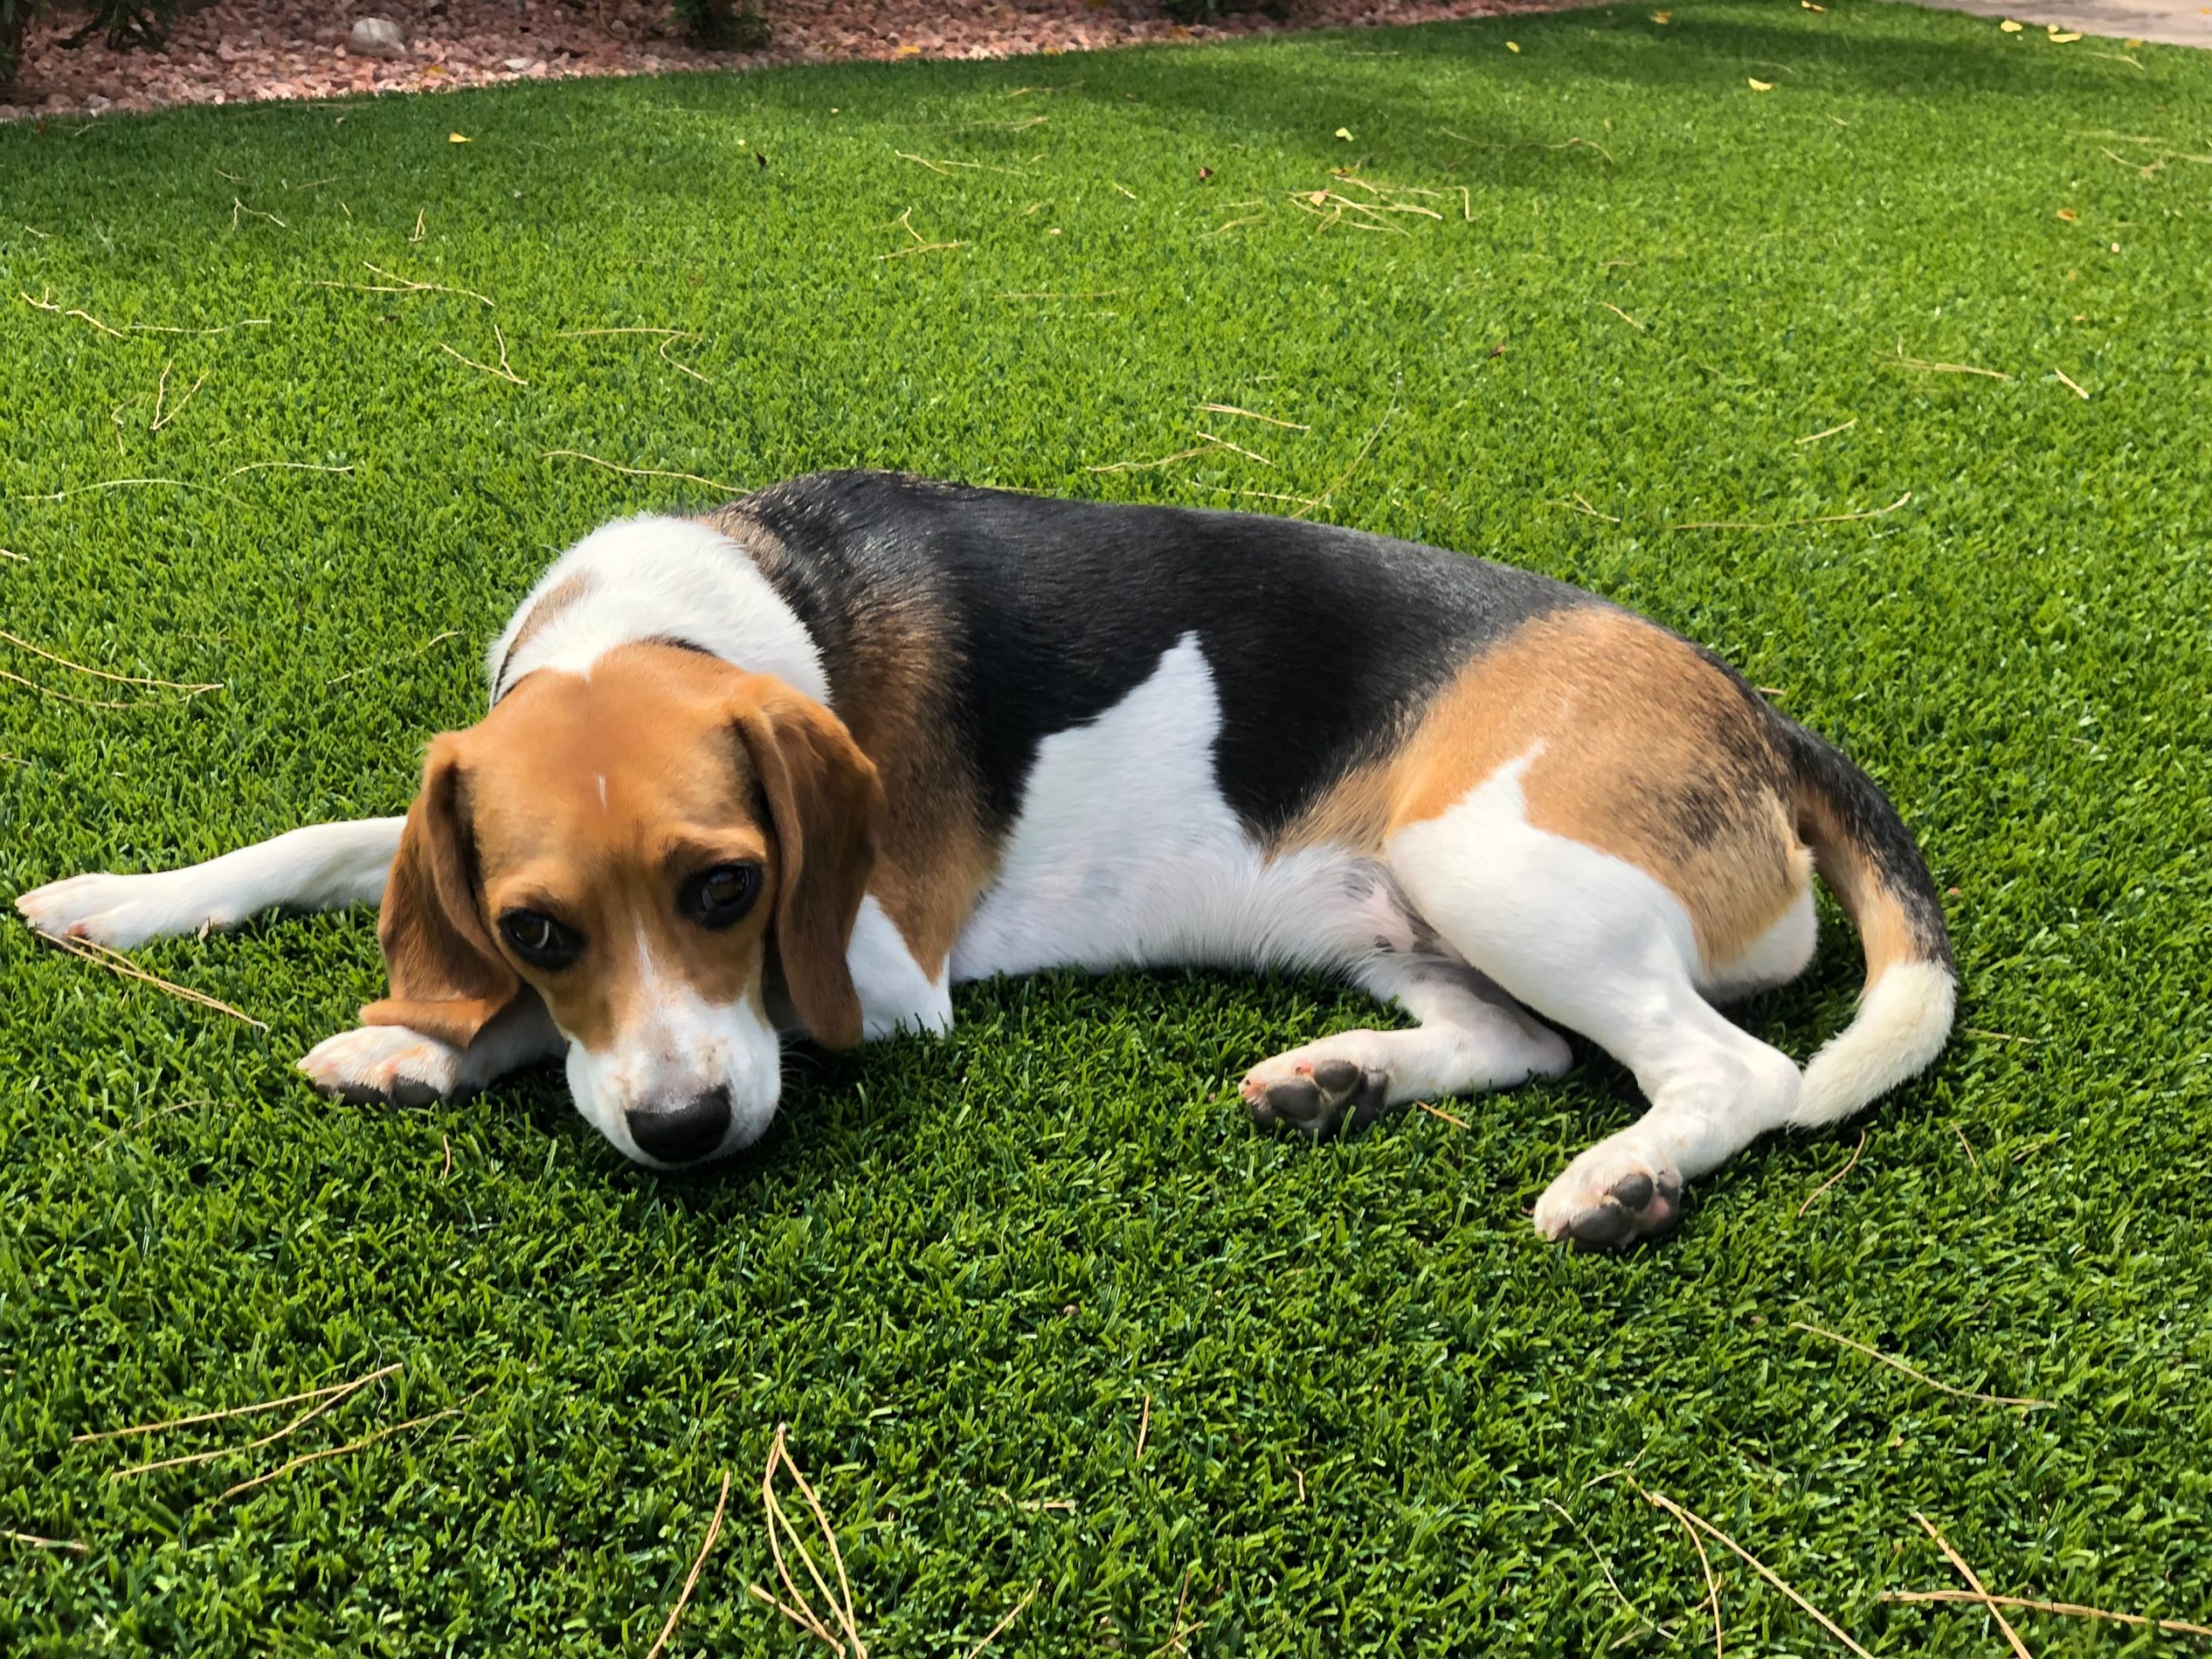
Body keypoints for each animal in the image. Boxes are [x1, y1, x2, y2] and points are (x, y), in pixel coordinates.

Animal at [17, 468, 1955, 1247]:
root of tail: (1753, 712)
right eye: (539, 924)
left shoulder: (868, 971)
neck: (698, 618)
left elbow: (649, 1025)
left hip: (1488, 856)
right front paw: (129, 906)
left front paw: (418, 1048)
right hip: (1395, 912)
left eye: (729, 891)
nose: (685, 1136)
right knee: (1522, 1043)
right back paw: (1333, 1082)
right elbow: (331, 842)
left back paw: (1619, 1183)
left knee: (1731, 1069)